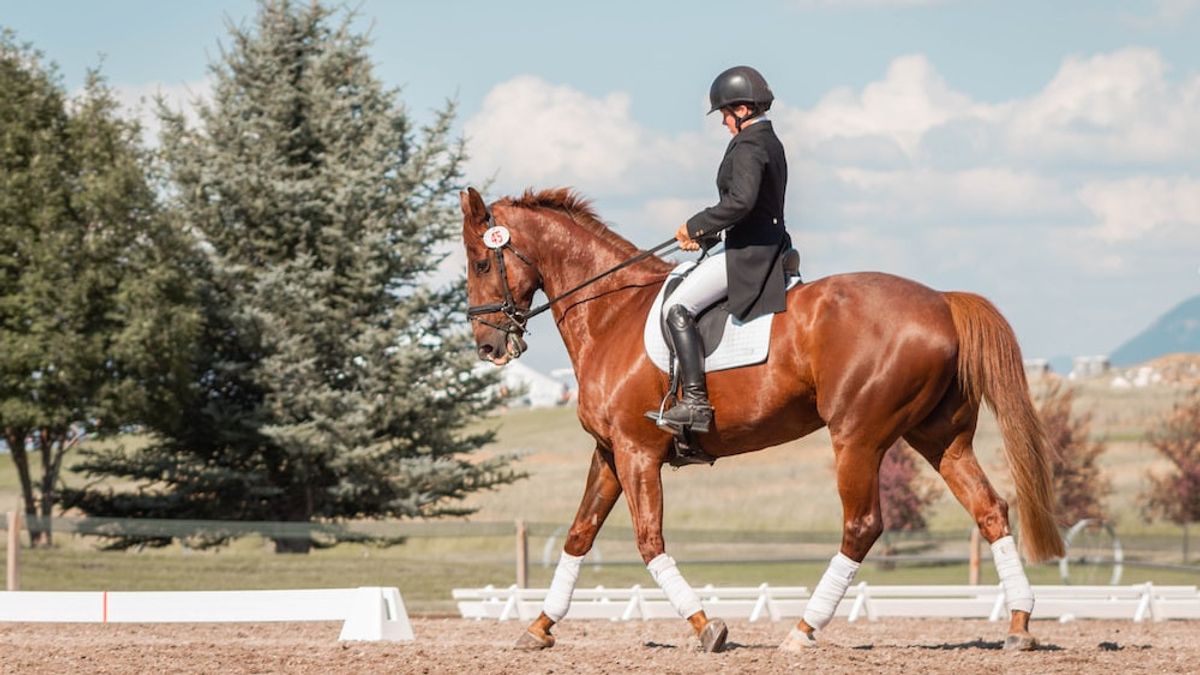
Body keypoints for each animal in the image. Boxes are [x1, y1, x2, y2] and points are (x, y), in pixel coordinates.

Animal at [458, 184, 1060, 653]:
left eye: (482, 262)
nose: (488, 346)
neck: (611, 312)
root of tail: (940, 301)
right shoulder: (610, 452)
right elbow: (580, 534)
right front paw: (539, 627)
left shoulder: (636, 452)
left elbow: (649, 540)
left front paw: (707, 627)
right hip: (939, 438)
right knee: (989, 509)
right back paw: (1019, 625)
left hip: (857, 437)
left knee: (862, 526)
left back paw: (803, 630)